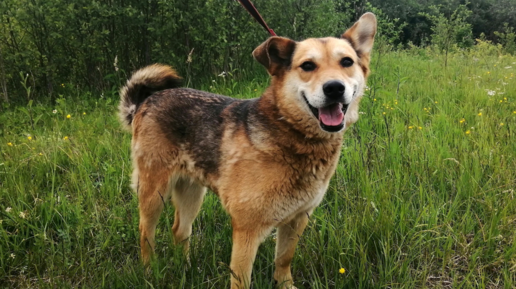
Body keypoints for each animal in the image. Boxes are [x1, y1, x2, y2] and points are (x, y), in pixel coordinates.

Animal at [119, 12, 376, 286]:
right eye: (307, 66)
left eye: (346, 62)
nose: (335, 88)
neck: (291, 133)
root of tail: (146, 100)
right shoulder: (247, 230)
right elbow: (241, 279)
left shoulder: (297, 219)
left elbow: (283, 260)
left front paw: (286, 285)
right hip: (154, 192)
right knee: (146, 232)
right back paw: (149, 272)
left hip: (192, 191)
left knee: (180, 230)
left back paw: (186, 269)